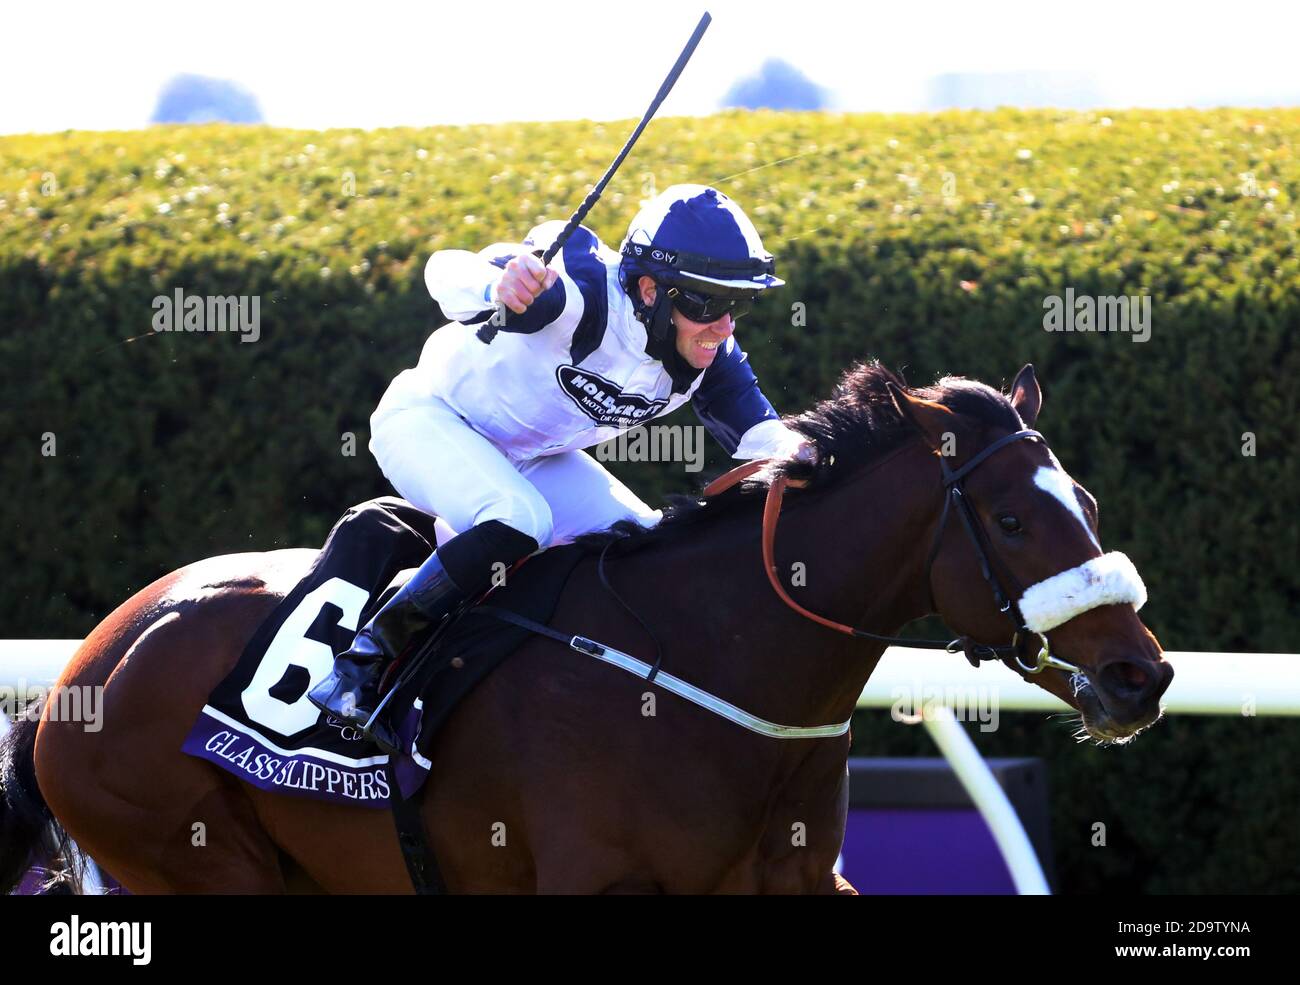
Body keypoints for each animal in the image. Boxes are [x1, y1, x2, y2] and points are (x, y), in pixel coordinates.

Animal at [0, 361, 1175, 894]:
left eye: (1088, 505)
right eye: (1014, 519)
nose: (1139, 675)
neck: (710, 666)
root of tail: (89, 660)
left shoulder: (797, 881)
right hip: (189, 856)